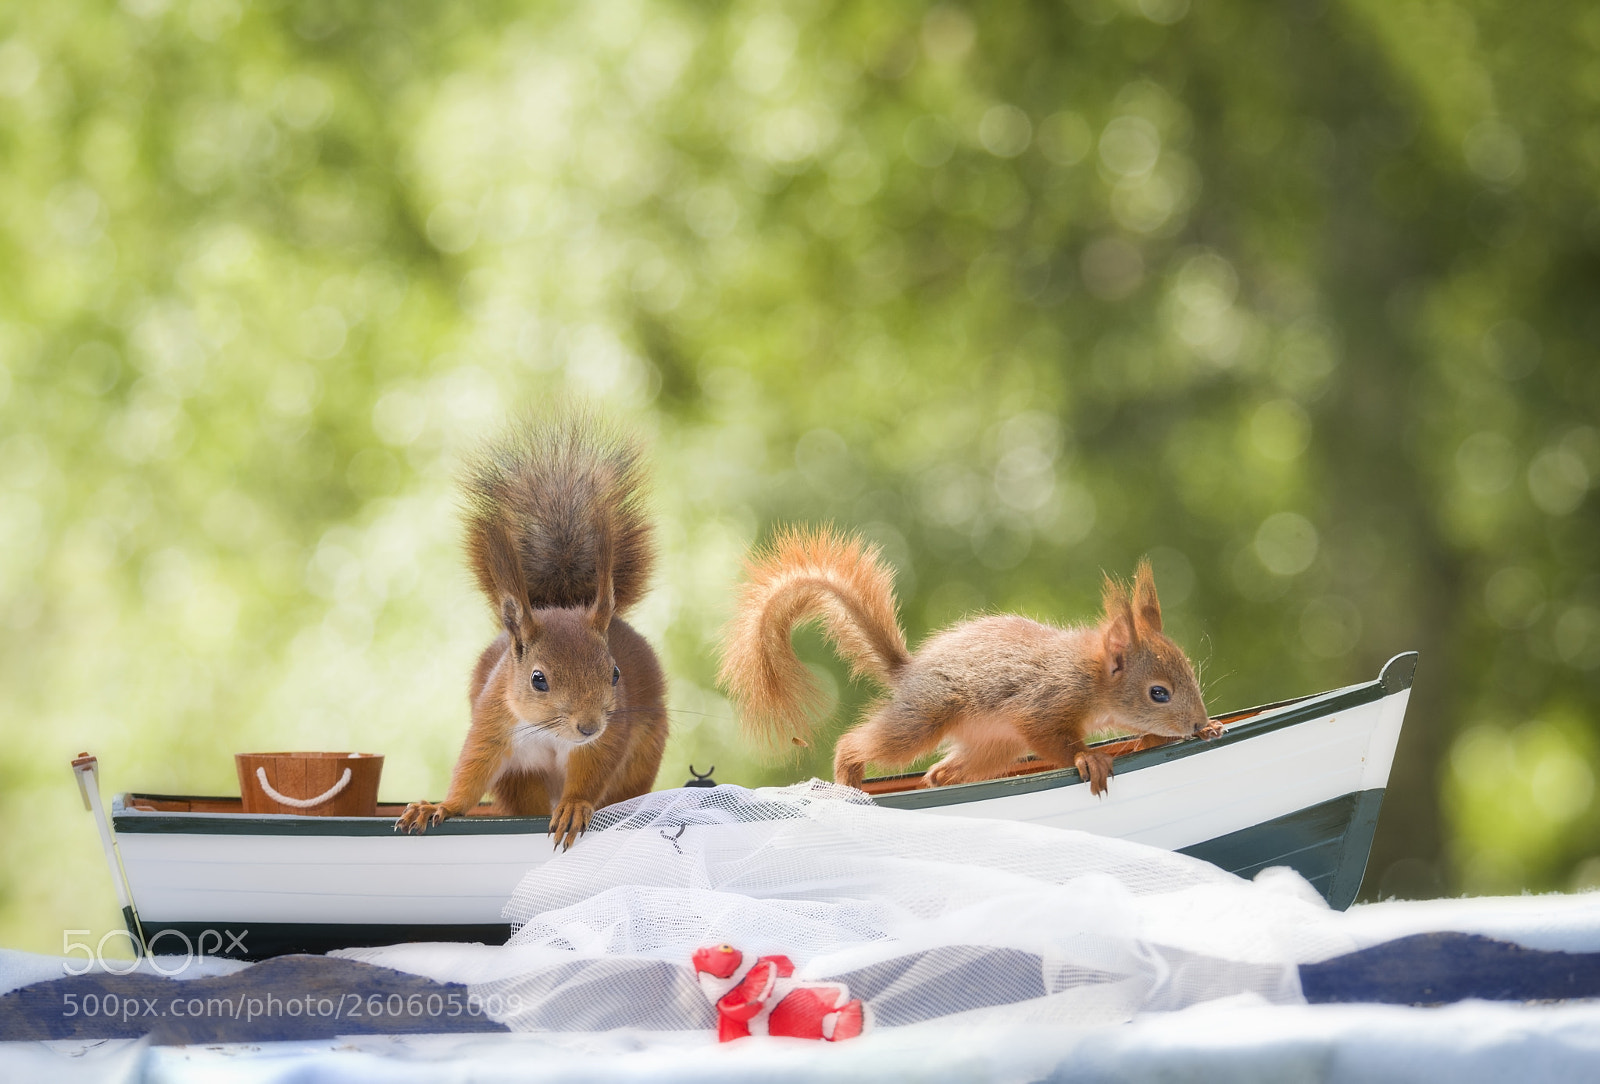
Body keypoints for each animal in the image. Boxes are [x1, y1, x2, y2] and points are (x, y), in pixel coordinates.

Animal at [397, 416, 668, 848]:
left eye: (615, 674)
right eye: (537, 679)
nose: (588, 726)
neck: (551, 733)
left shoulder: (608, 736)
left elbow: (591, 773)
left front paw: (574, 805)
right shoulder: (492, 721)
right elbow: (471, 770)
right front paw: (438, 806)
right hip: (518, 781)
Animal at [717, 526, 1214, 796]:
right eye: (1158, 692)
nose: (1194, 723)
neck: (1091, 679)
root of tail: (909, 671)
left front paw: (1195, 732)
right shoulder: (1043, 702)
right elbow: (1053, 739)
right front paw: (1088, 758)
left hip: (994, 747)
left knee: (941, 772)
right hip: (925, 718)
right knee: (858, 743)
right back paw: (848, 778)